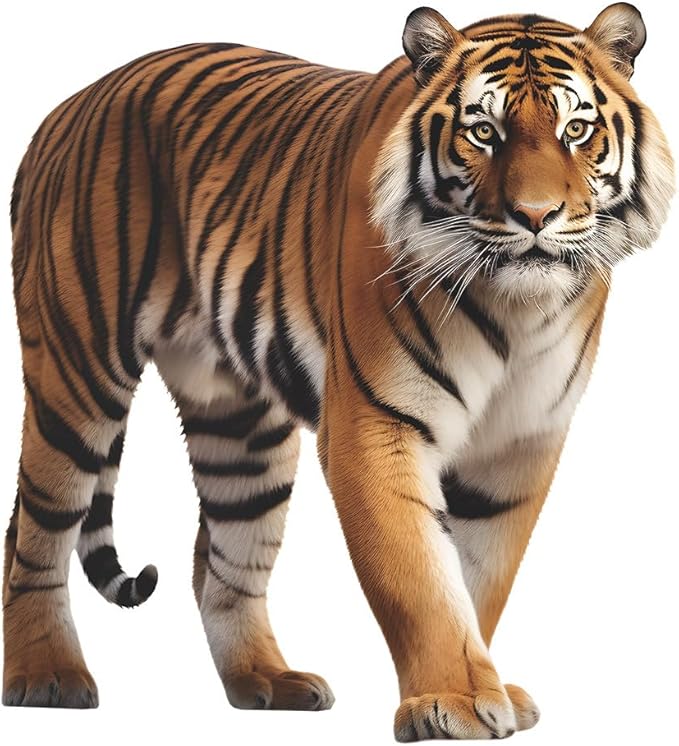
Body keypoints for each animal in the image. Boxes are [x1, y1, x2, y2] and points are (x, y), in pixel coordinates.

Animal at [3, 2, 673, 741]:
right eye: (483, 132)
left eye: (575, 130)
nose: (534, 216)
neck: (516, 310)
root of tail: (65, 107)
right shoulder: (376, 426)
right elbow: (420, 577)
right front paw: (453, 699)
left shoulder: (520, 443)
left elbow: (479, 576)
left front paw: (486, 687)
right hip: (77, 372)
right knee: (34, 529)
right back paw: (46, 676)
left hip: (241, 428)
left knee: (220, 558)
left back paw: (267, 681)